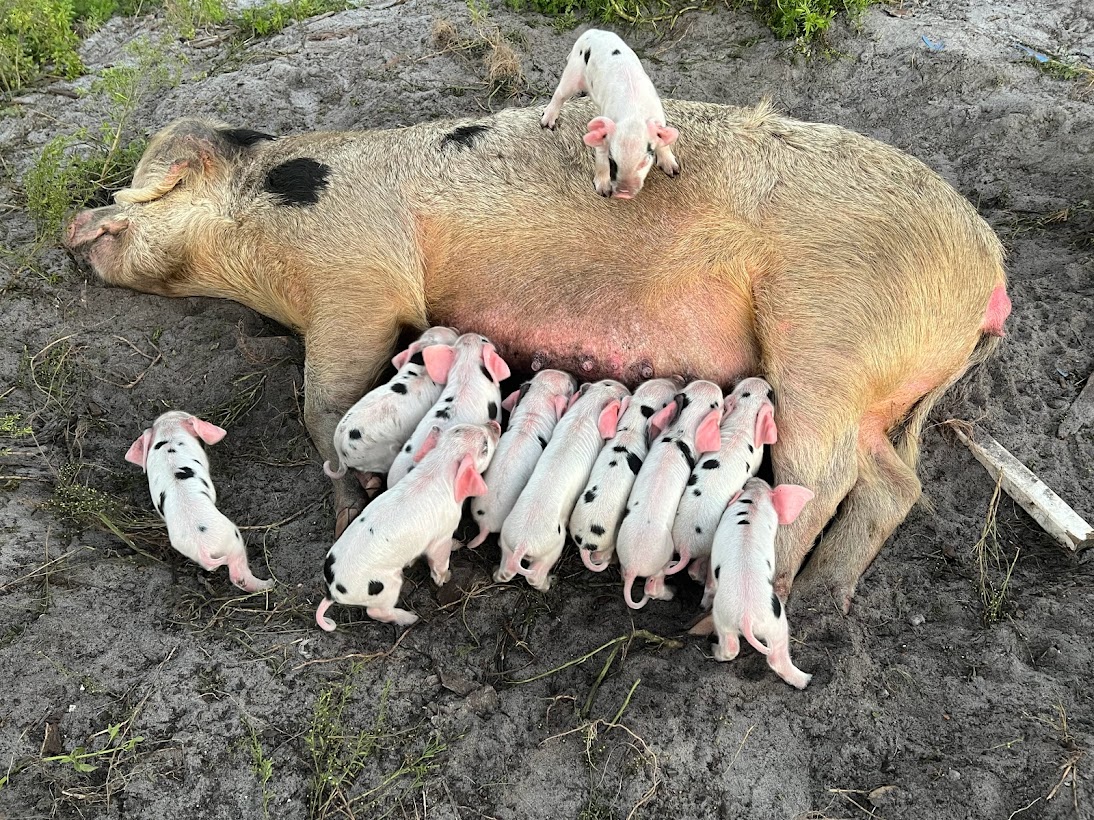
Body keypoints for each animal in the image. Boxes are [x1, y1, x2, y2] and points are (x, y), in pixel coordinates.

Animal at [66, 99, 1006, 612]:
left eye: (146, 181)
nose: (75, 223)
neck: (256, 243)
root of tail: (989, 269)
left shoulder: (356, 281)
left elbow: (324, 404)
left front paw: (348, 504)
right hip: (868, 385)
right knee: (893, 483)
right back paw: (819, 601)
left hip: (824, 332)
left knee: (824, 474)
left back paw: (733, 604)